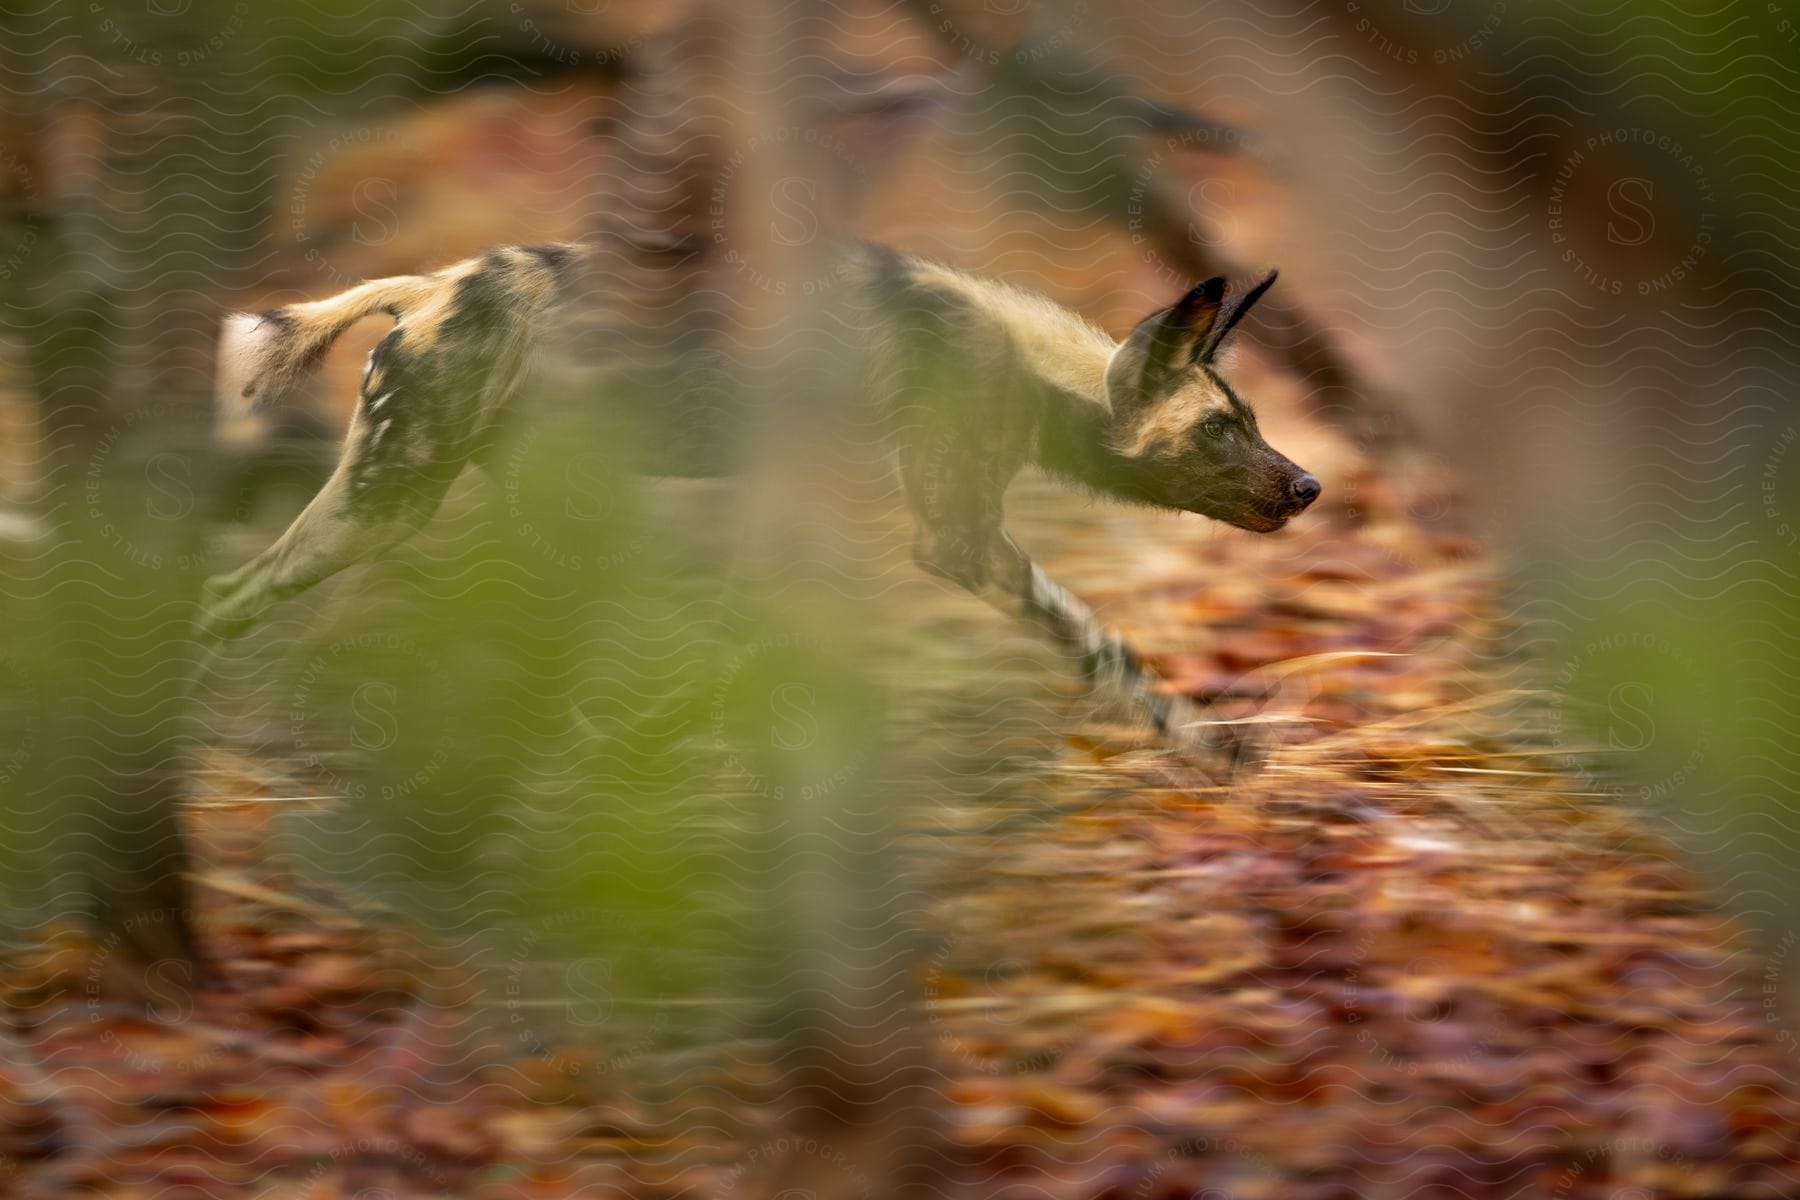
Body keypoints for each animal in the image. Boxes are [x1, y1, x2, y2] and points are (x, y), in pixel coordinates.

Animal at [204, 241, 1324, 752]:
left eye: (1252, 418)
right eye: (1218, 430)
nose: (1308, 484)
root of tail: (435, 286)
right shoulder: (959, 540)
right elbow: (1105, 645)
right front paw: (1203, 746)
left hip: (504, 507)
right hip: (387, 501)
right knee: (226, 603)